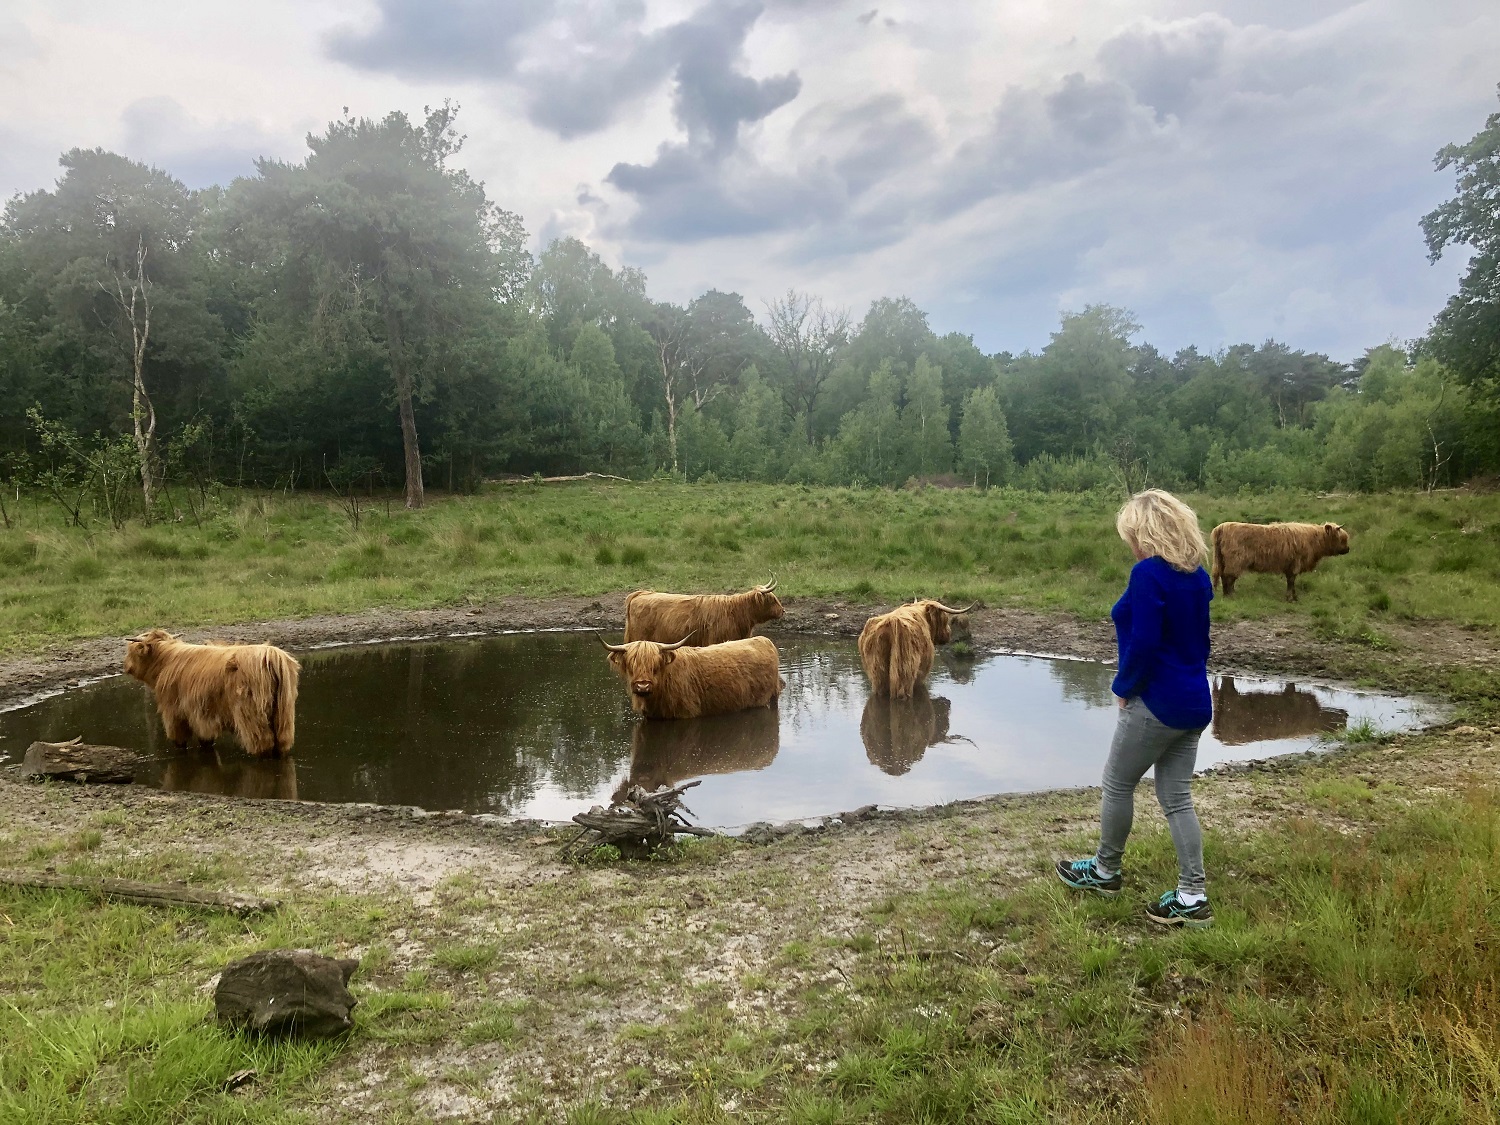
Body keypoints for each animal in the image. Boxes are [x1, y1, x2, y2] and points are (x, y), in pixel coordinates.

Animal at [124, 636, 300, 759]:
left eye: (131, 651)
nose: (125, 666)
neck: (165, 660)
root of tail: (270, 655)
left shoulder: (174, 710)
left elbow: (181, 736)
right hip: (284, 711)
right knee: (282, 739)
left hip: (251, 713)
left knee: (262, 741)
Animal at [597, 636, 786, 723]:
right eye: (631, 665)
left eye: (655, 665)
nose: (642, 686)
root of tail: (764, 640)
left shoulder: (686, 714)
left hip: (769, 698)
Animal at [1212, 525, 1356, 603]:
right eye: (1342, 539)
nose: (1348, 549)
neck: (1313, 540)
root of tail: (1221, 527)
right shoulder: (1295, 564)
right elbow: (1291, 581)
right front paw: (1291, 598)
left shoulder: (1290, 566)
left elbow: (1290, 582)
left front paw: (1294, 597)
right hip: (1235, 561)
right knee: (1229, 578)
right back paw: (1231, 596)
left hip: (1223, 561)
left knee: (1224, 576)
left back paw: (1226, 595)